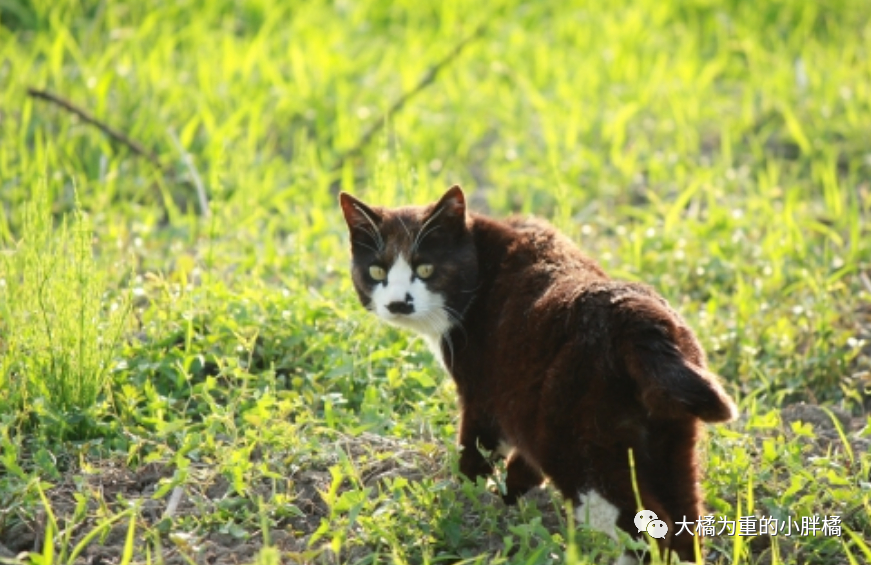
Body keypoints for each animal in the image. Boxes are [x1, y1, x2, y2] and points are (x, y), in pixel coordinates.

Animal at [338, 184, 736, 560]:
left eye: (425, 269)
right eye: (377, 271)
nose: (397, 303)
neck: (483, 259)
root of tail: (638, 322)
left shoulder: (484, 395)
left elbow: (476, 451)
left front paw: (463, 500)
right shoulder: (520, 404)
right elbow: (522, 460)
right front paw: (509, 496)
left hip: (583, 451)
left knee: (649, 528)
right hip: (670, 440)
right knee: (684, 522)